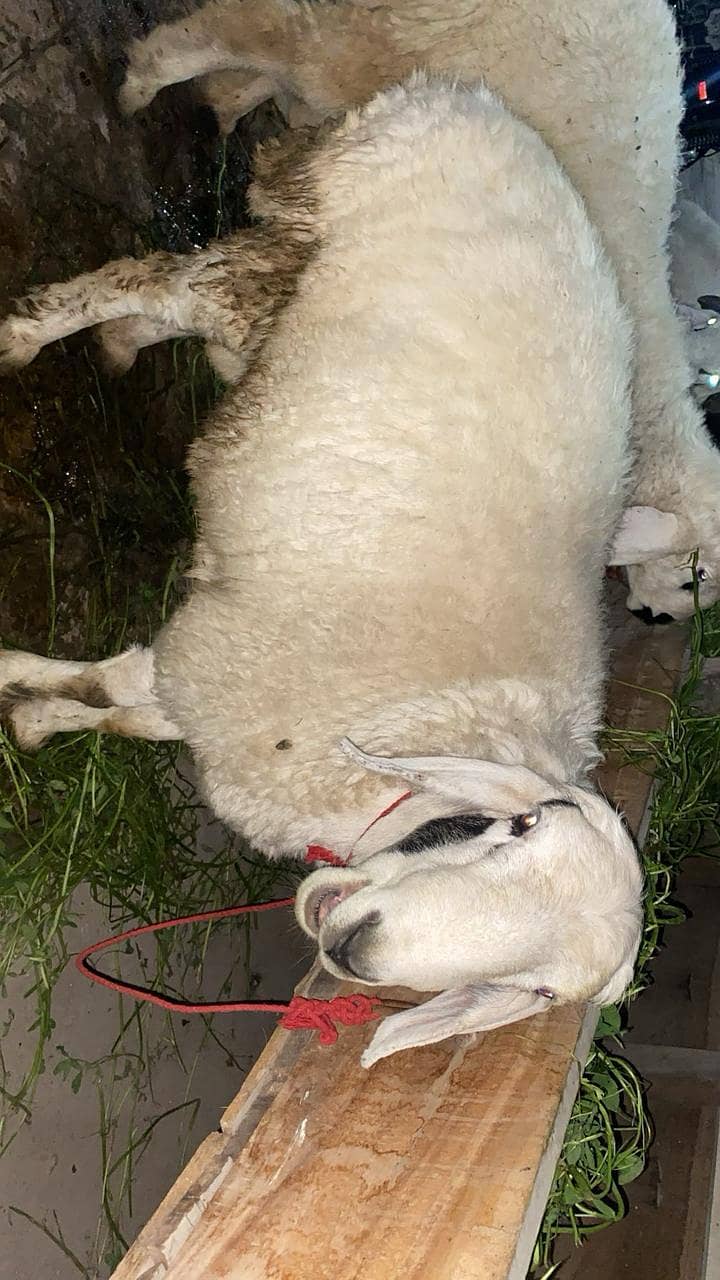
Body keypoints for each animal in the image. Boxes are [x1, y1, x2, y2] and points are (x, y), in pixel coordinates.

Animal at [0, 78, 643, 1066]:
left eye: (539, 989)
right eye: (517, 828)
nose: (358, 950)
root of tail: (463, 99)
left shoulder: (211, 696)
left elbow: (117, 712)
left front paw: (34, 720)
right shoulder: (218, 668)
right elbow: (108, 684)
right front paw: (15, 683)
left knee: (159, 292)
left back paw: (116, 347)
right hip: (296, 247)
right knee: (149, 278)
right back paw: (25, 338)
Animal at [114, 0, 720, 626]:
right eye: (695, 576)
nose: (654, 619)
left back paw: (224, 102)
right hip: (361, 34)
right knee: (235, 33)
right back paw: (142, 86)